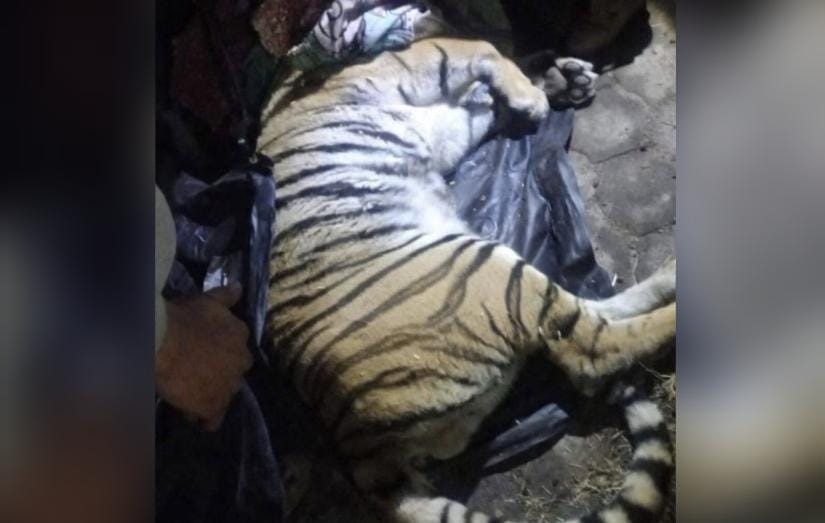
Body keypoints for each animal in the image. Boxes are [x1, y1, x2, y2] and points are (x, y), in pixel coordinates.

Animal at [259, 36, 675, 523]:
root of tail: (354, 443)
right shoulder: (403, 69)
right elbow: (477, 47)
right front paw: (541, 90)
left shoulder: (444, 123)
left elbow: (482, 98)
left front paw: (557, 82)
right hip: (487, 273)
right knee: (591, 352)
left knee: (589, 318)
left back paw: (668, 277)